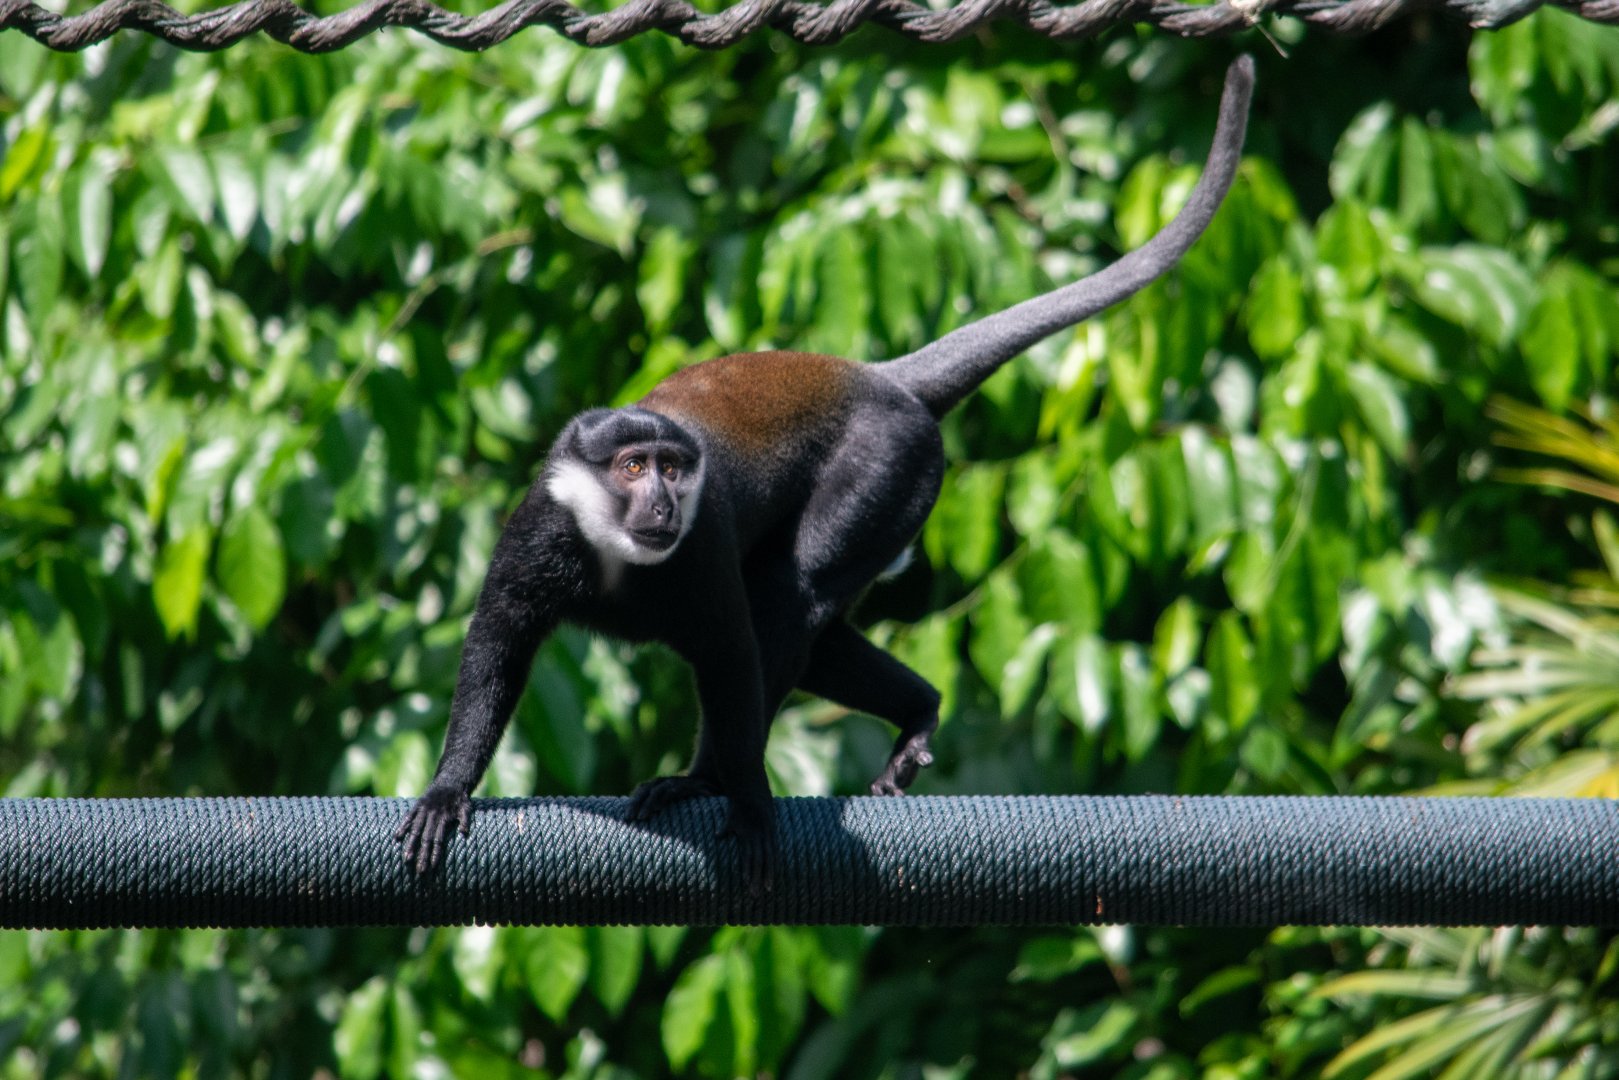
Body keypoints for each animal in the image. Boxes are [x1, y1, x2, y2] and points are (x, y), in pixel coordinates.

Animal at [396, 57, 1255, 884]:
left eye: (674, 470)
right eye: (634, 467)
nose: (664, 502)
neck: (615, 554)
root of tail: (883, 380)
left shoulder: (701, 549)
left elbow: (734, 656)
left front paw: (734, 796)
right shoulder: (536, 533)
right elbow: (497, 645)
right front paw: (448, 789)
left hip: (891, 470)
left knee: (792, 598)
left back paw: (722, 774)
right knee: (809, 620)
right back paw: (917, 706)